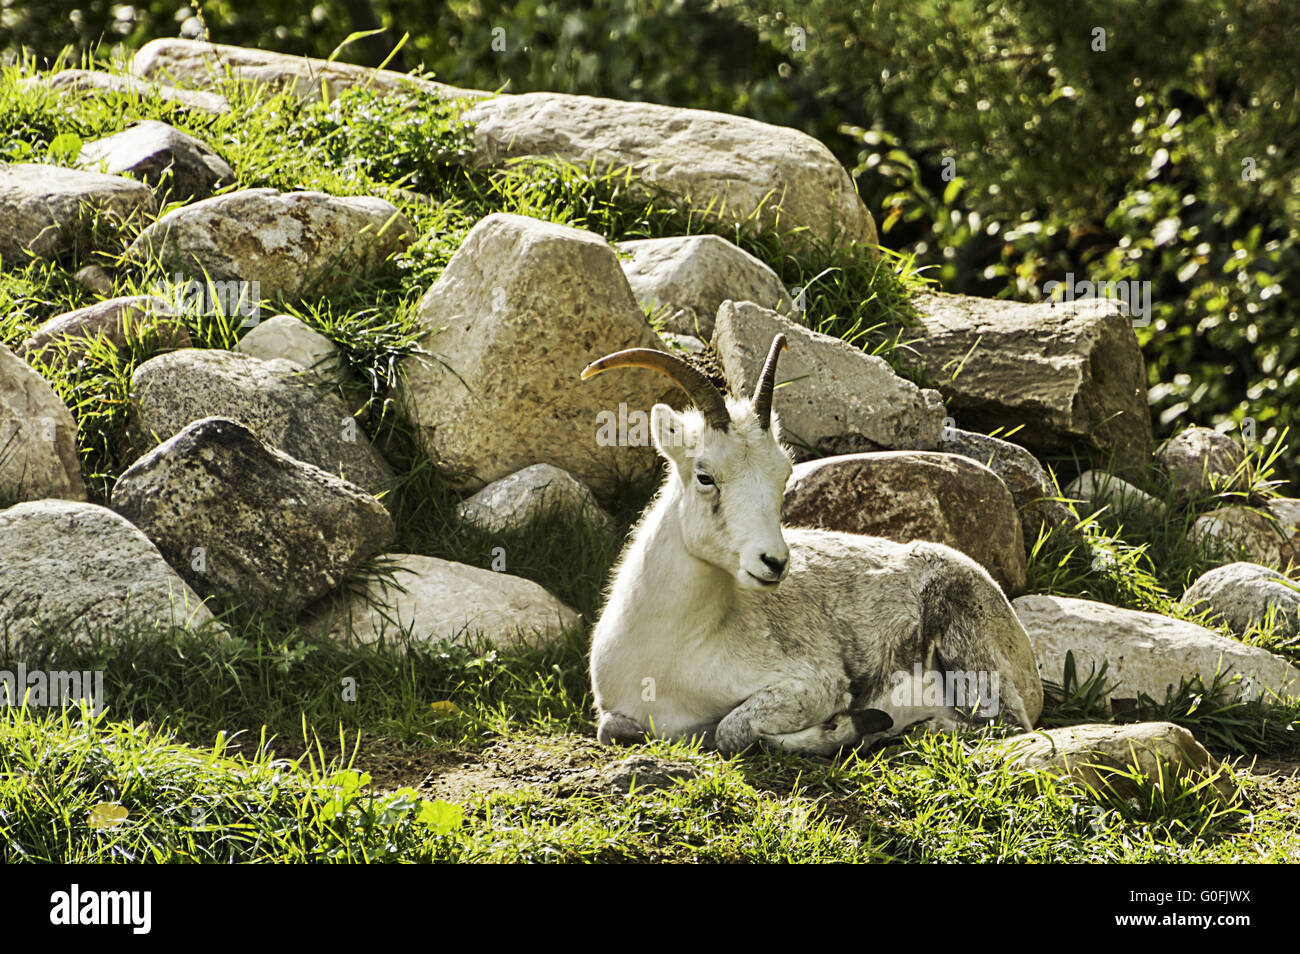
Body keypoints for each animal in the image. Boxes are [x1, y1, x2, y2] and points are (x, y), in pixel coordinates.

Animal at [581, 334, 1043, 755]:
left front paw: (856, 723)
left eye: (784, 473)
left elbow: (732, 730)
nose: (773, 562)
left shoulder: (812, 684)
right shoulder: (616, 713)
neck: (674, 655)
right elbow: (613, 730)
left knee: (1001, 724)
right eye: (705, 476)